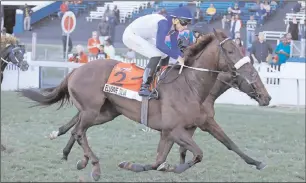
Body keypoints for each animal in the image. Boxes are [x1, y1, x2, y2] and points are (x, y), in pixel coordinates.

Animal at [20, 29, 272, 181]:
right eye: (230, 50)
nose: (266, 97)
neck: (192, 87)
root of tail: (75, 70)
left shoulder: (190, 127)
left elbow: (227, 143)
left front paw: (257, 162)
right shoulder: (175, 129)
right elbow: (197, 154)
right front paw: (172, 168)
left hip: (105, 112)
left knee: (77, 127)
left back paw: (76, 156)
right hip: (93, 110)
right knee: (80, 131)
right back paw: (94, 166)